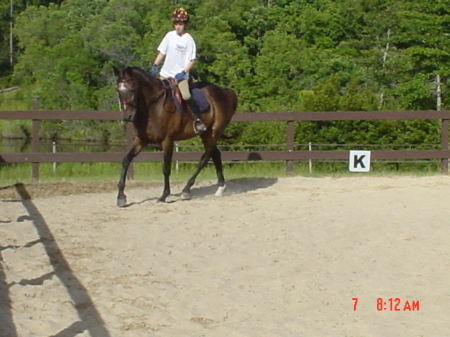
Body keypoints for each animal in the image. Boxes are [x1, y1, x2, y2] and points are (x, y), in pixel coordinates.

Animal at [112, 65, 239, 206]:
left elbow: (166, 168)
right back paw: (220, 188)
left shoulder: (167, 140)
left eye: (133, 89)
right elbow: (126, 160)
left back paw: (186, 190)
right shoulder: (141, 139)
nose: (127, 116)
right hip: (206, 134)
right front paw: (121, 197)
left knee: (205, 158)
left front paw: (163, 196)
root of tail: (225, 91)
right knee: (215, 154)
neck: (154, 107)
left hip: (213, 132)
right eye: (118, 90)